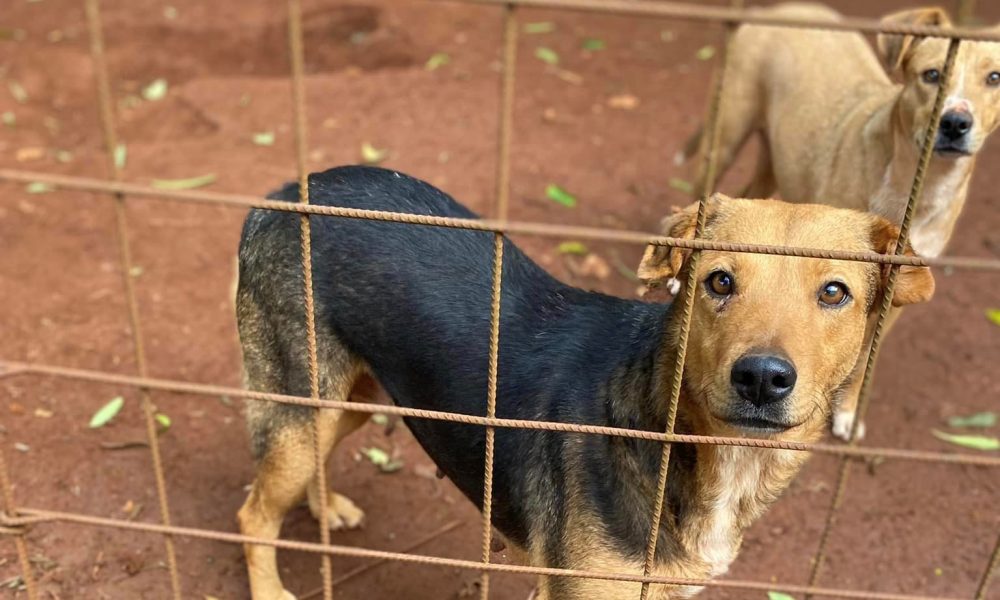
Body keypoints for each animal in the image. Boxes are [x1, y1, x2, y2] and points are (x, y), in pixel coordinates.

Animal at [236, 165, 936, 600]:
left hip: (349, 397)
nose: (762, 378)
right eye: (719, 281)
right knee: (253, 514)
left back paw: (325, 506)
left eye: (835, 292)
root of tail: (286, 190)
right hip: (301, 401)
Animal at [648, 2, 992, 438]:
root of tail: (782, 9)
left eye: (994, 78)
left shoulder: (897, 292)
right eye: (931, 75)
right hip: (725, 136)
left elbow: (866, 357)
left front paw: (847, 412)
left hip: (774, 161)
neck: (919, 186)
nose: (955, 123)